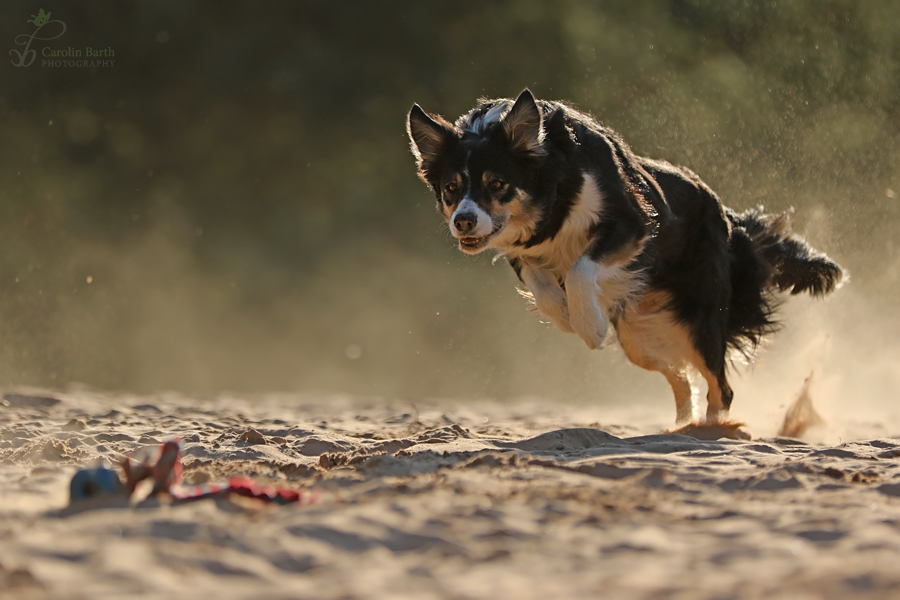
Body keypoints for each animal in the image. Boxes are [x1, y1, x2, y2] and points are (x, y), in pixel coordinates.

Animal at [408, 89, 844, 432]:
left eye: (497, 183)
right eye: (451, 188)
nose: (463, 221)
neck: (555, 188)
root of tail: (727, 217)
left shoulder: (633, 224)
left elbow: (580, 267)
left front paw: (589, 327)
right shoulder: (523, 252)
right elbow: (544, 289)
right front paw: (567, 316)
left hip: (702, 319)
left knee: (720, 384)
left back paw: (714, 427)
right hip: (639, 336)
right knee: (681, 378)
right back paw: (683, 425)